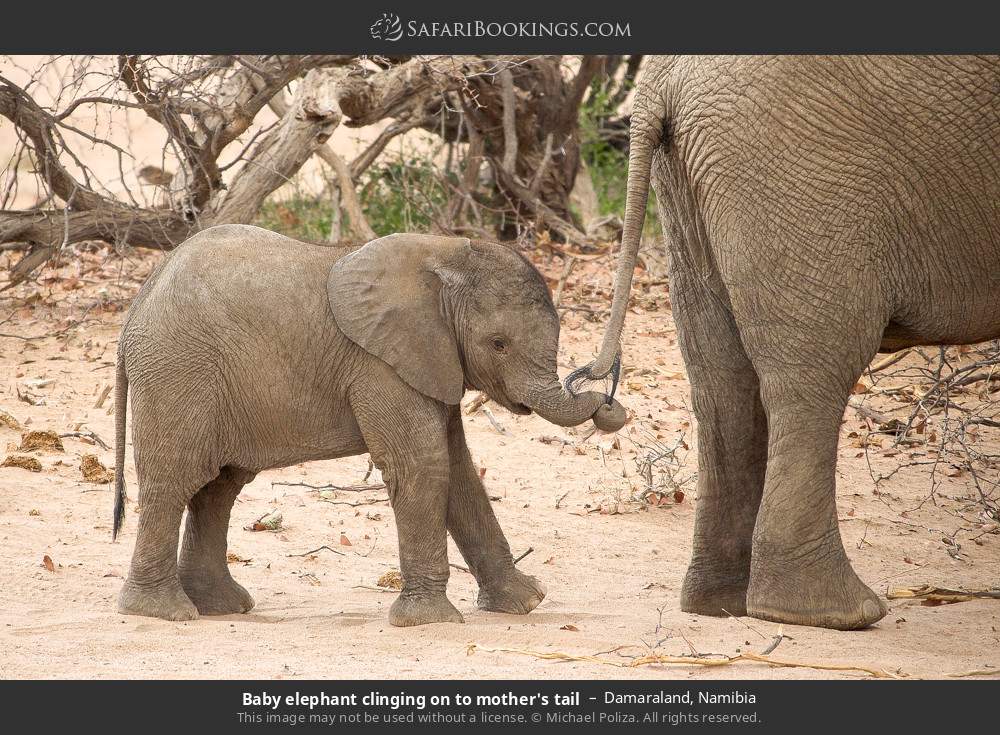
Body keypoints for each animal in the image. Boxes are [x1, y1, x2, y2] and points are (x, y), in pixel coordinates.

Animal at [112, 224, 626, 626]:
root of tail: (136, 305)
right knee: (175, 480)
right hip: (178, 371)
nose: (606, 403)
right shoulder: (381, 365)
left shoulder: (431, 361)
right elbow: (423, 465)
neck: (442, 253)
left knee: (218, 487)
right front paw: (430, 622)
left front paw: (525, 604)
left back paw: (220, 606)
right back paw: (162, 611)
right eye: (498, 344)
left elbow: (458, 469)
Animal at [574, 56, 1000, 630]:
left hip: (692, 188)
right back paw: (835, 612)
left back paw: (722, 605)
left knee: (721, 381)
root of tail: (661, 81)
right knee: (815, 372)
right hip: (801, 174)